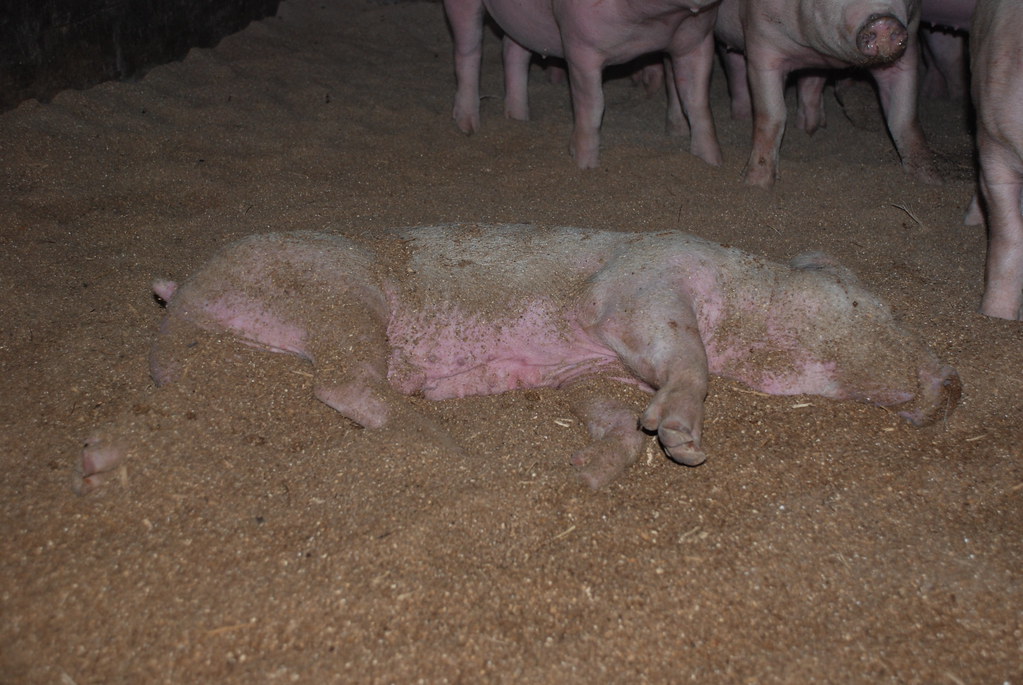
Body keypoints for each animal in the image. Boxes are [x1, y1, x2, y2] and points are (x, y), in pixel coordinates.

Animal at [74, 224, 961, 494]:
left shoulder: (595, 368)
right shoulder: (640, 285)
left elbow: (613, 414)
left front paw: (590, 470)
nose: (954, 384)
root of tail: (181, 291)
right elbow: (686, 359)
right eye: (888, 308)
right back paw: (440, 436)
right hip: (340, 297)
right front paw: (683, 444)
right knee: (342, 382)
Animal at [442, 0, 724, 169]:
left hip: (522, 22)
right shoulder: (580, 45)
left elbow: (698, 104)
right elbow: (593, 106)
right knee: (468, 50)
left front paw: (712, 163)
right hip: (463, 8)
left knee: (513, 52)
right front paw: (585, 165)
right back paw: (468, 127)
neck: (655, 22)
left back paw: (519, 119)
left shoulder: (698, 39)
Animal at [714, 0, 941, 188]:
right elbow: (772, 115)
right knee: (735, 68)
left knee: (811, 85)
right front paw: (756, 185)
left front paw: (929, 180)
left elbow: (905, 119)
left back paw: (811, 128)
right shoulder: (760, 41)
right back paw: (741, 119)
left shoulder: (910, 43)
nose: (884, 23)